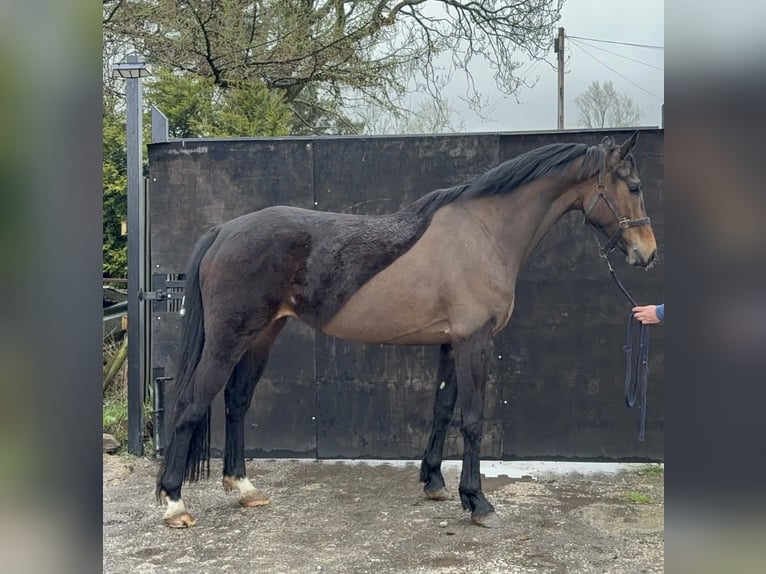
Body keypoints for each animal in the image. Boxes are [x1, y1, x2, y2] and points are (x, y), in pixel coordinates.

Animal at [155, 131, 657, 529]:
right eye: (633, 186)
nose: (647, 253)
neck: (483, 233)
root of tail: (224, 230)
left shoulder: (451, 343)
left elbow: (442, 409)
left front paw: (434, 481)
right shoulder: (475, 341)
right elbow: (472, 420)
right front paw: (477, 501)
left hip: (262, 335)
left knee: (237, 401)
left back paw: (243, 488)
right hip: (229, 337)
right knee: (191, 403)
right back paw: (174, 502)